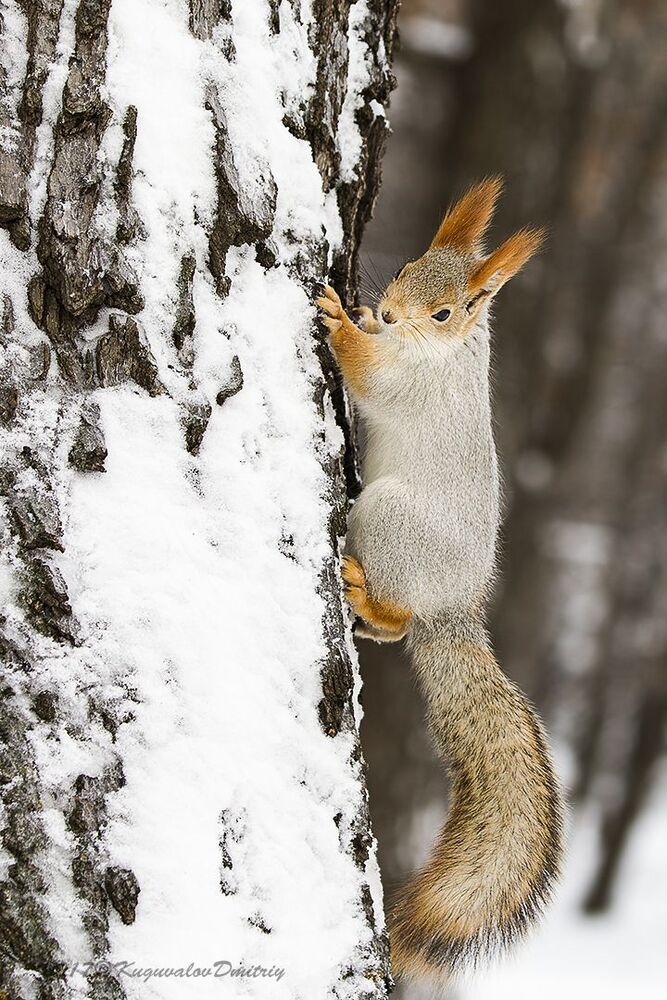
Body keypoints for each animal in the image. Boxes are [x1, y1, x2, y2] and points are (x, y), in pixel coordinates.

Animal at [318, 178, 564, 986]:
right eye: (403, 268)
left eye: (447, 312)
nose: (387, 313)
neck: (443, 351)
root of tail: (452, 611)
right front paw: (360, 314)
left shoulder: (408, 383)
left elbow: (369, 376)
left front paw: (341, 322)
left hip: (386, 520)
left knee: (398, 617)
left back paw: (366, 595)